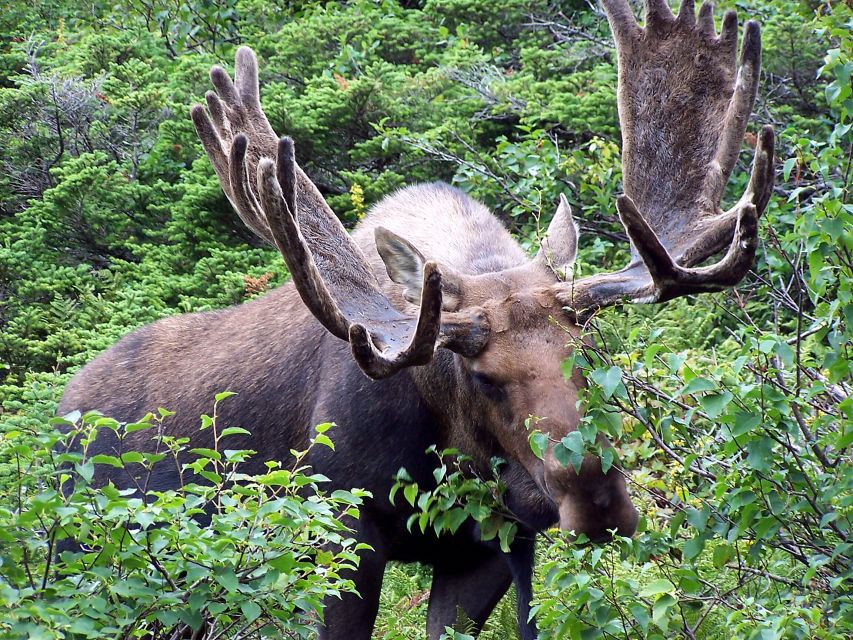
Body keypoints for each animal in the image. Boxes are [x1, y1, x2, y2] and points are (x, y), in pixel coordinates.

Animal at [60, 0, 772, 636]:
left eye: (591, 354)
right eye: (482, 377)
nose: (597, 501)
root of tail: (62, 407)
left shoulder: (485, 552)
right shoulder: (338, 532)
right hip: (93, 557)